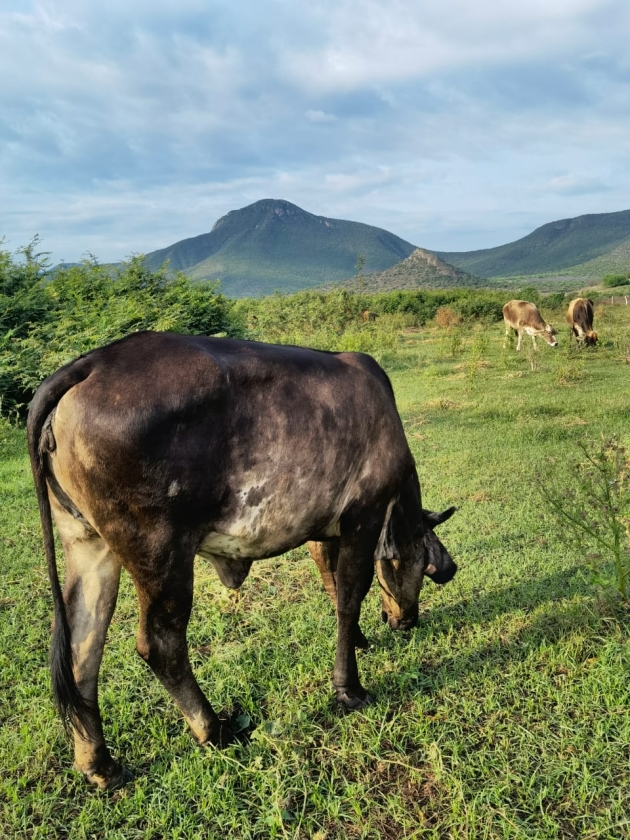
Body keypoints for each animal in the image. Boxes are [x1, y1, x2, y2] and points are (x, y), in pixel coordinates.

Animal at [27, 332, 456, 792]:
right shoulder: (364, 515)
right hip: (160, 552)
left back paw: (99, 764)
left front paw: (358, 640)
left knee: (81, 649)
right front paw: (349, 689)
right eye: (425, 568)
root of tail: (91, 364)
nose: (406, 620)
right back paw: (213, 729)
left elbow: (331, 581)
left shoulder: (324, 529)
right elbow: (348, 599)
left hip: (88, 543)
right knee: (160, 643)